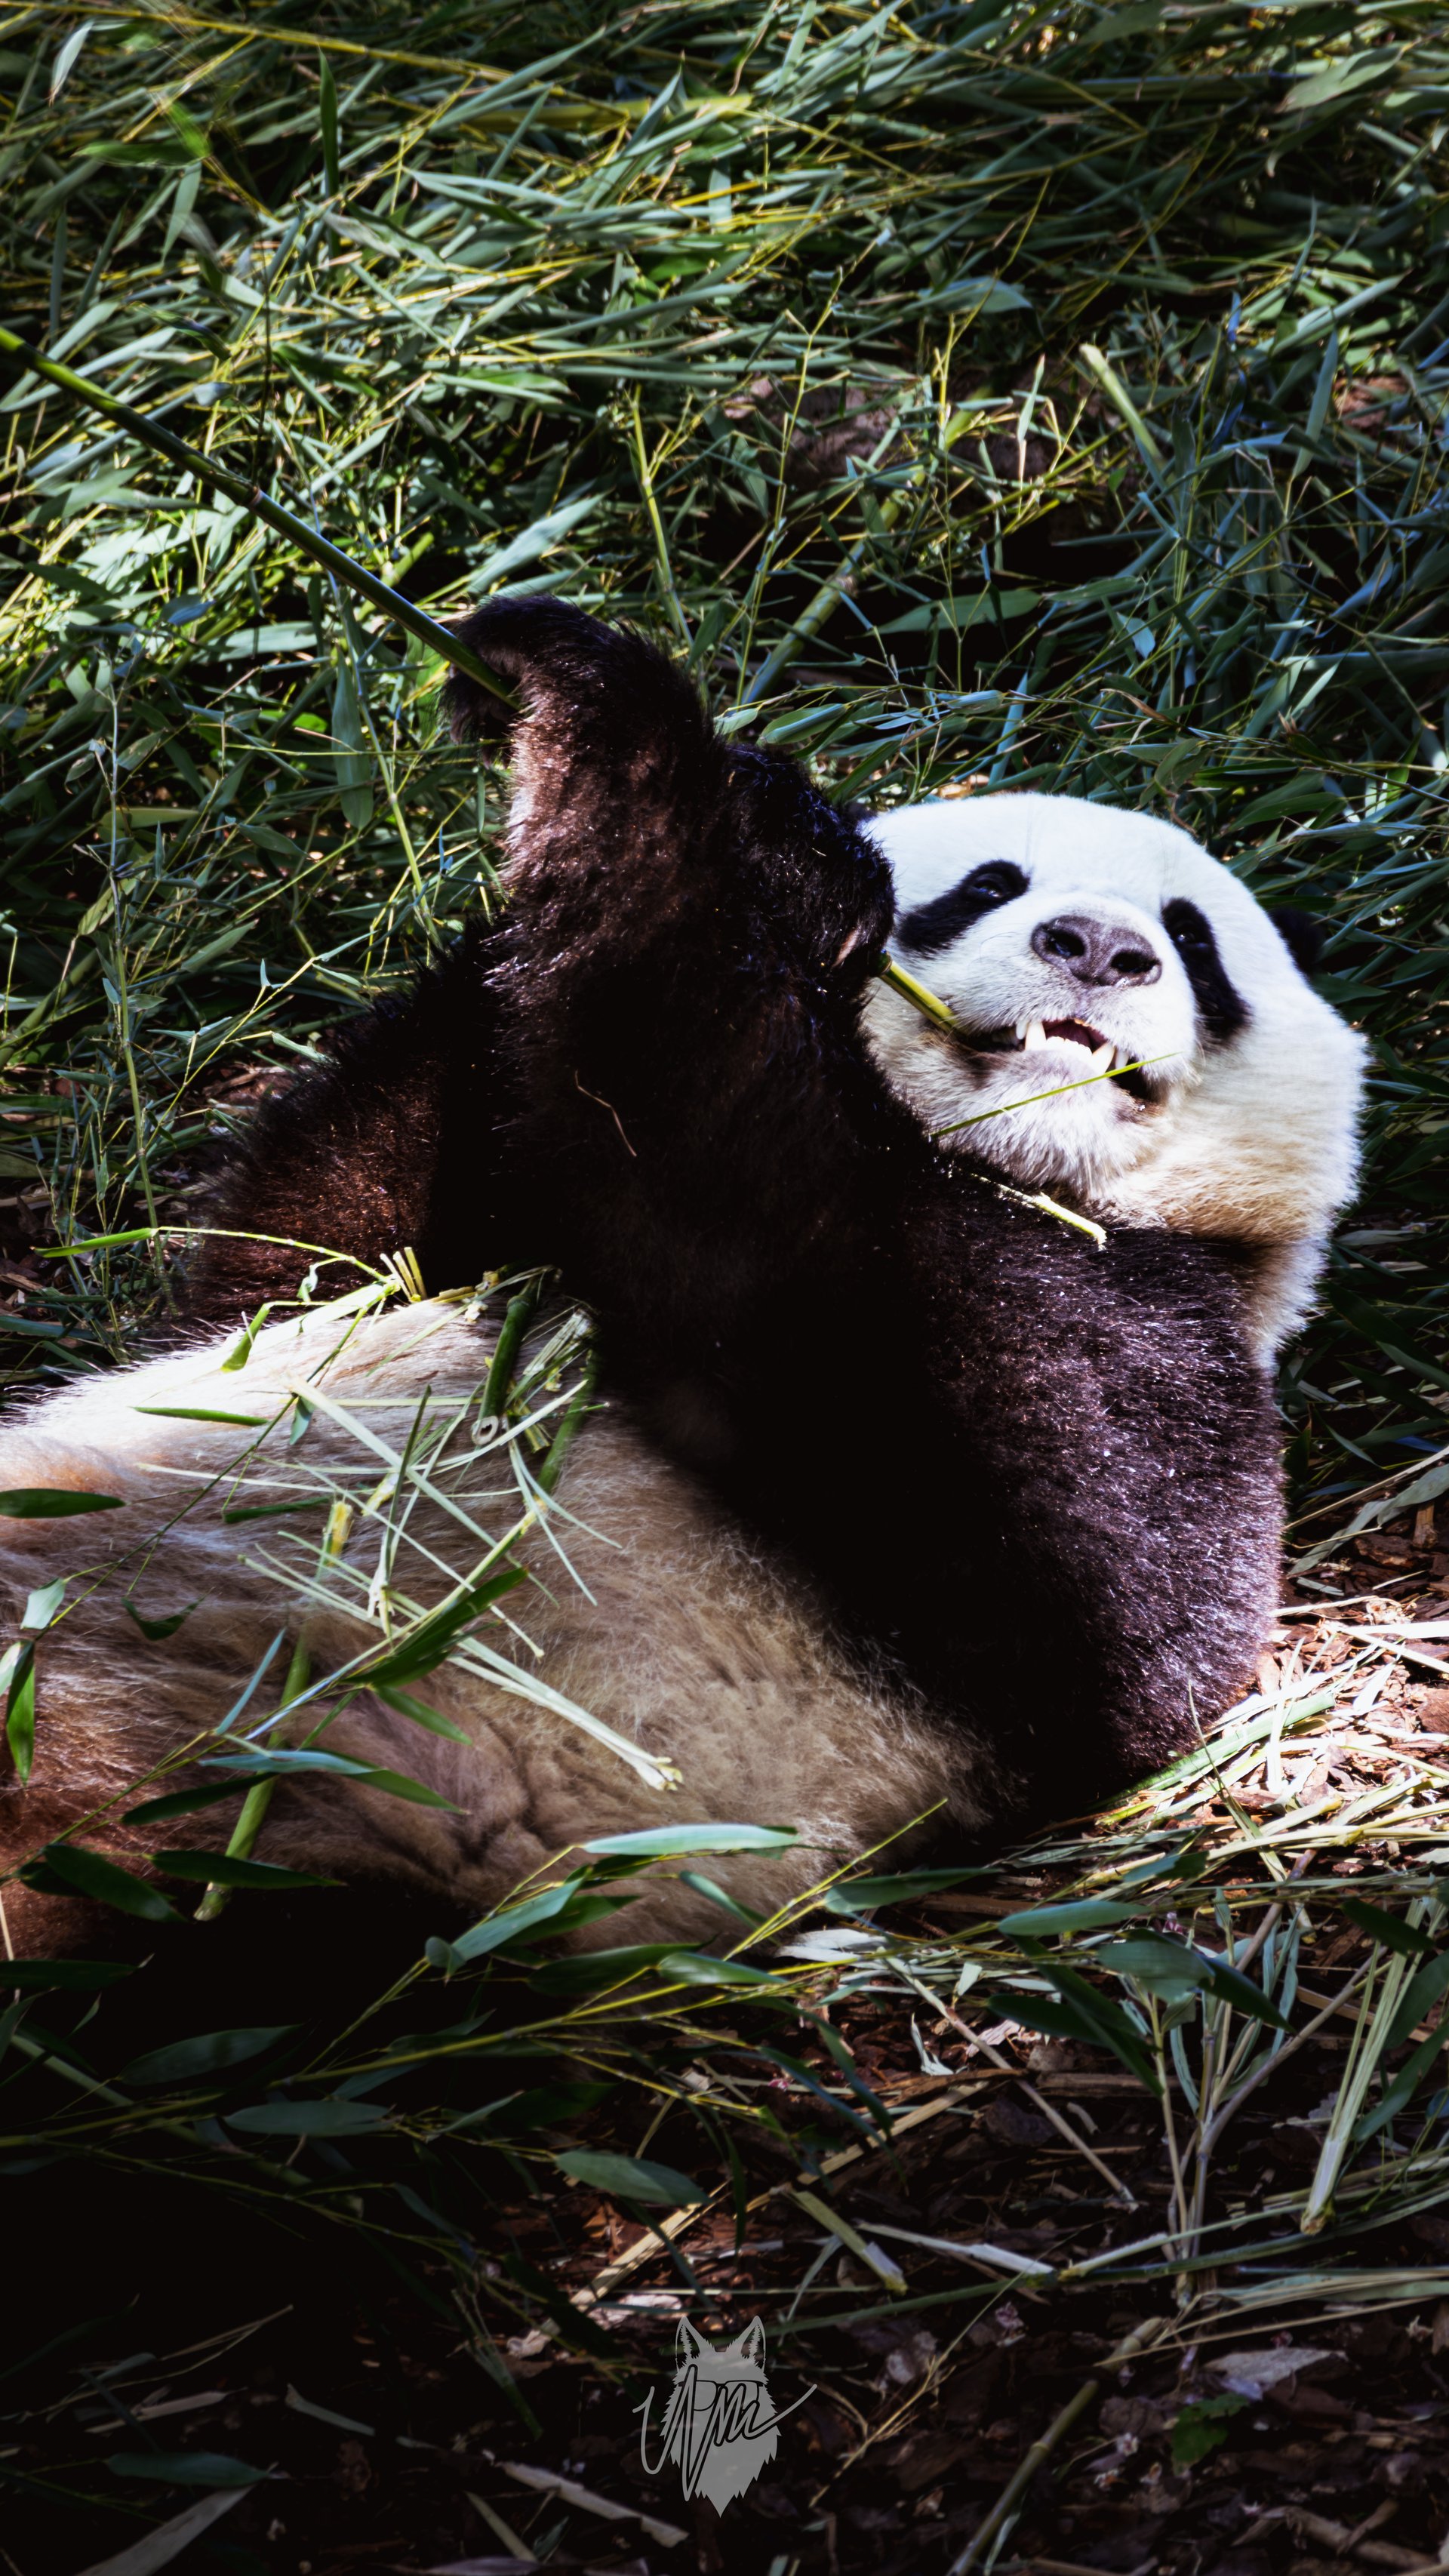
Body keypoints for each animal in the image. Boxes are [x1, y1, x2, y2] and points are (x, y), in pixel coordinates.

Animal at [0, 600, 1365, 1956]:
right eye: (988, 886)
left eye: (1193, 939)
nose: (1099, 947)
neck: (1004, 1166)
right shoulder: (365, 1279)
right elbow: (301, 1266)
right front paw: (747, 812)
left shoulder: (1158, 1357)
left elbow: (1066, 1546)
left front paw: (642, 757)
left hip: (320, 1849)